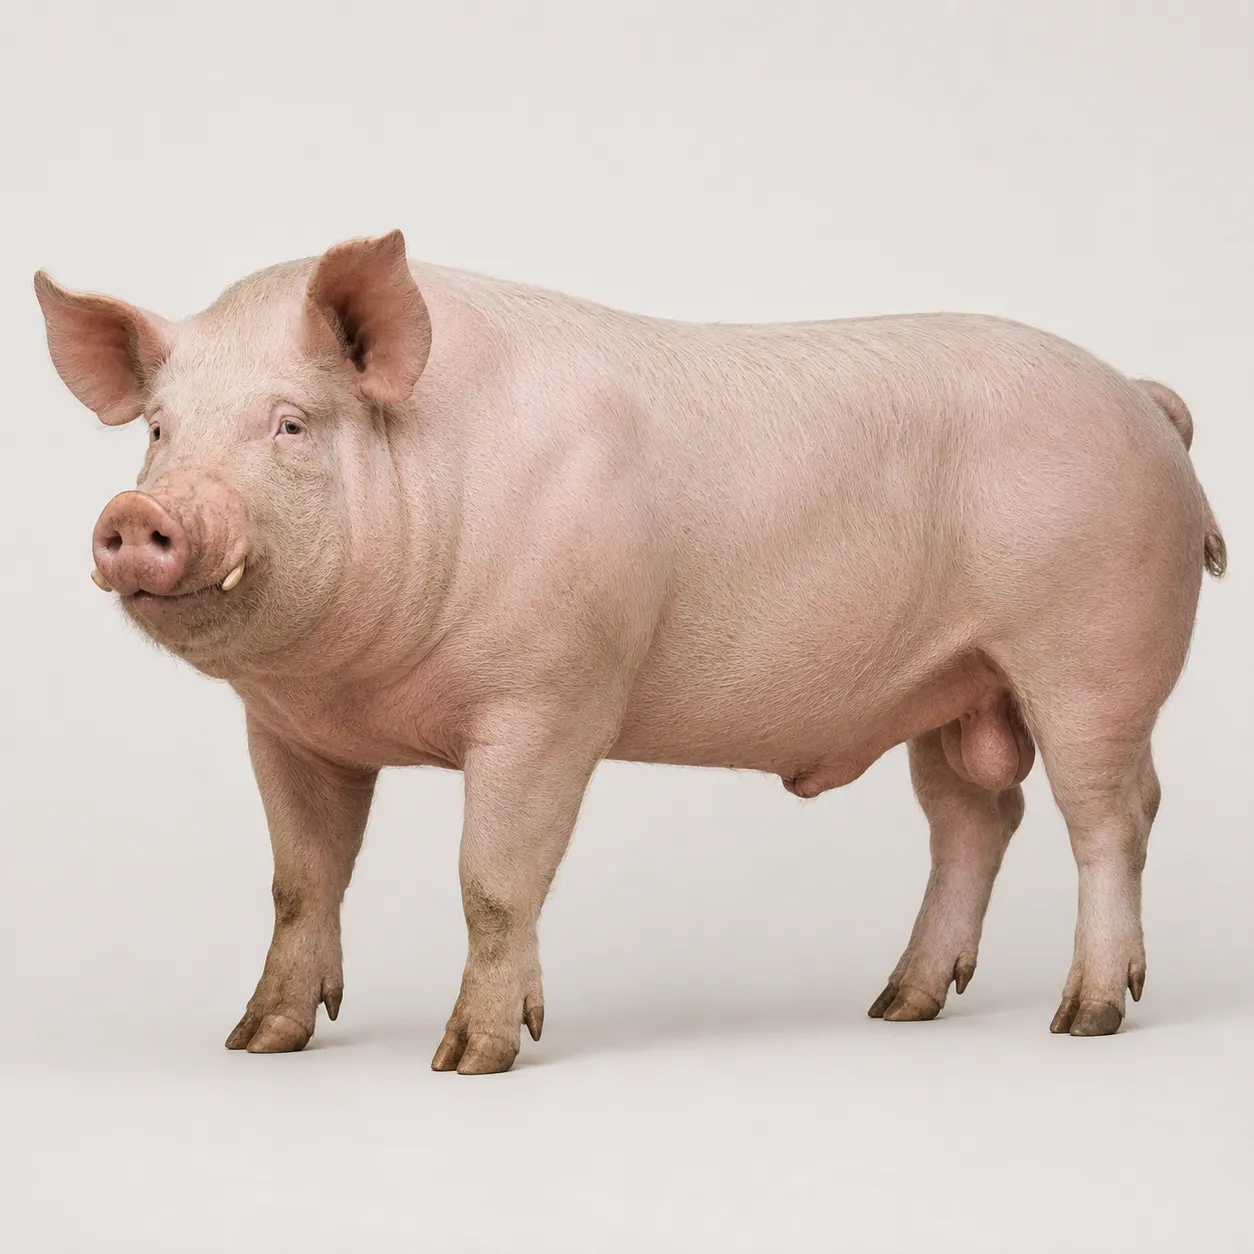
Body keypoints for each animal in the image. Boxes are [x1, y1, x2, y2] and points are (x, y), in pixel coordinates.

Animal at [34, 230, 1226, 1073]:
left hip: (1096, 649)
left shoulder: (550, 698)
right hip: (954, 687)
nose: (140, 512)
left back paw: (1084, 1018)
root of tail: (1144, 402)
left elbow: (493, 881)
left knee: (1111, 815)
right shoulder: (285, 730)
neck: (358, 688)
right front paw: (259, 1042)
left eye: (290, 424)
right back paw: (898, 1006)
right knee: (977, 818)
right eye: (159, 429)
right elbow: (298, 880)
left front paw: (469, 1059)